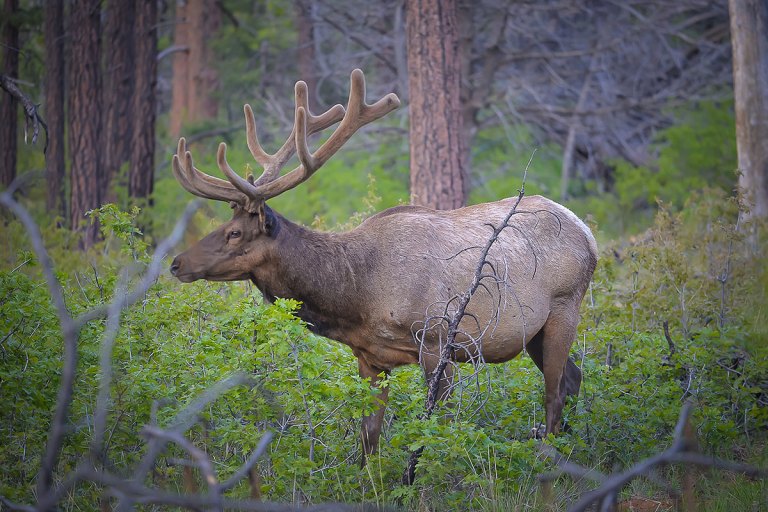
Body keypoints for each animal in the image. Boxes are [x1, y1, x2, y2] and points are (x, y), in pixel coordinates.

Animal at [169, 69, 598, 464]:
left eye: (235, 233)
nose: (176, 262)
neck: (358, 295)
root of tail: (587, 232)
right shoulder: (369, 358)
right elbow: (369, 437)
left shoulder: (437, 341)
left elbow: (436, 428)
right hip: (532, 334)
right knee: (574, 378)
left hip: (564, 308)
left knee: (555, 392)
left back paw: (551, 456)